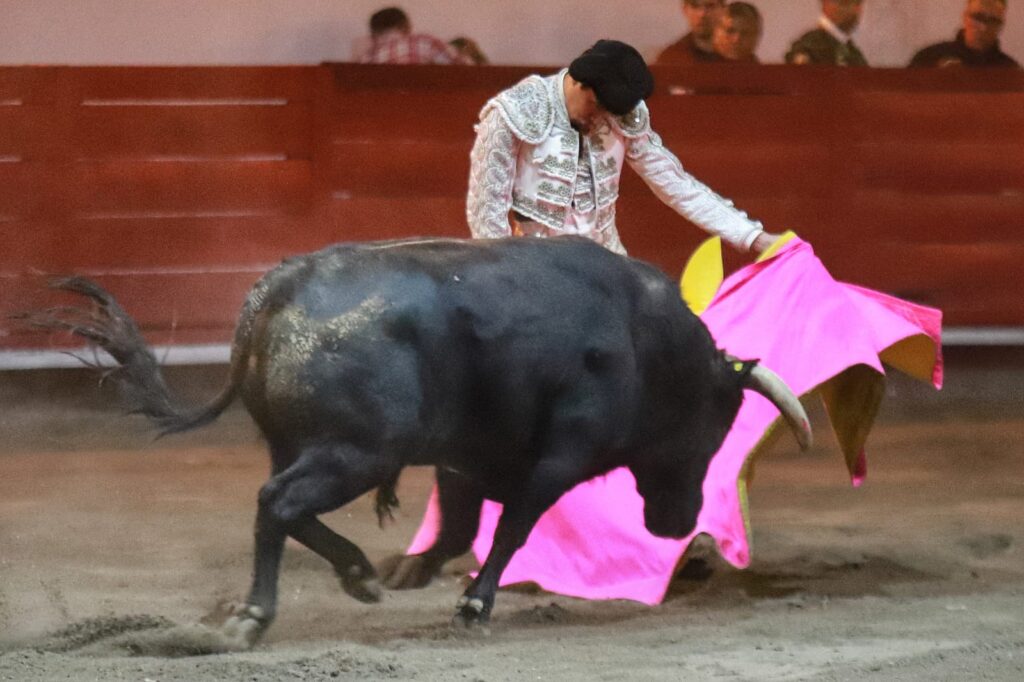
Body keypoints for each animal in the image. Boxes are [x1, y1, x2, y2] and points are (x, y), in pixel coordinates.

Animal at [28, 235, 811, 643]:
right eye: (714, 426)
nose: (678, 522)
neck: (647, 343)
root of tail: (276, 290)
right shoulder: (556, 458)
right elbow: (514, 527)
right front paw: (473, 605)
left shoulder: (470, 457)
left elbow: (464, 521)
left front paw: (416, 571)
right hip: (356, 451)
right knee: (277, 503)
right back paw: (255, 615)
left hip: (312, 446)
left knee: (283, 506)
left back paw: (357, 574)